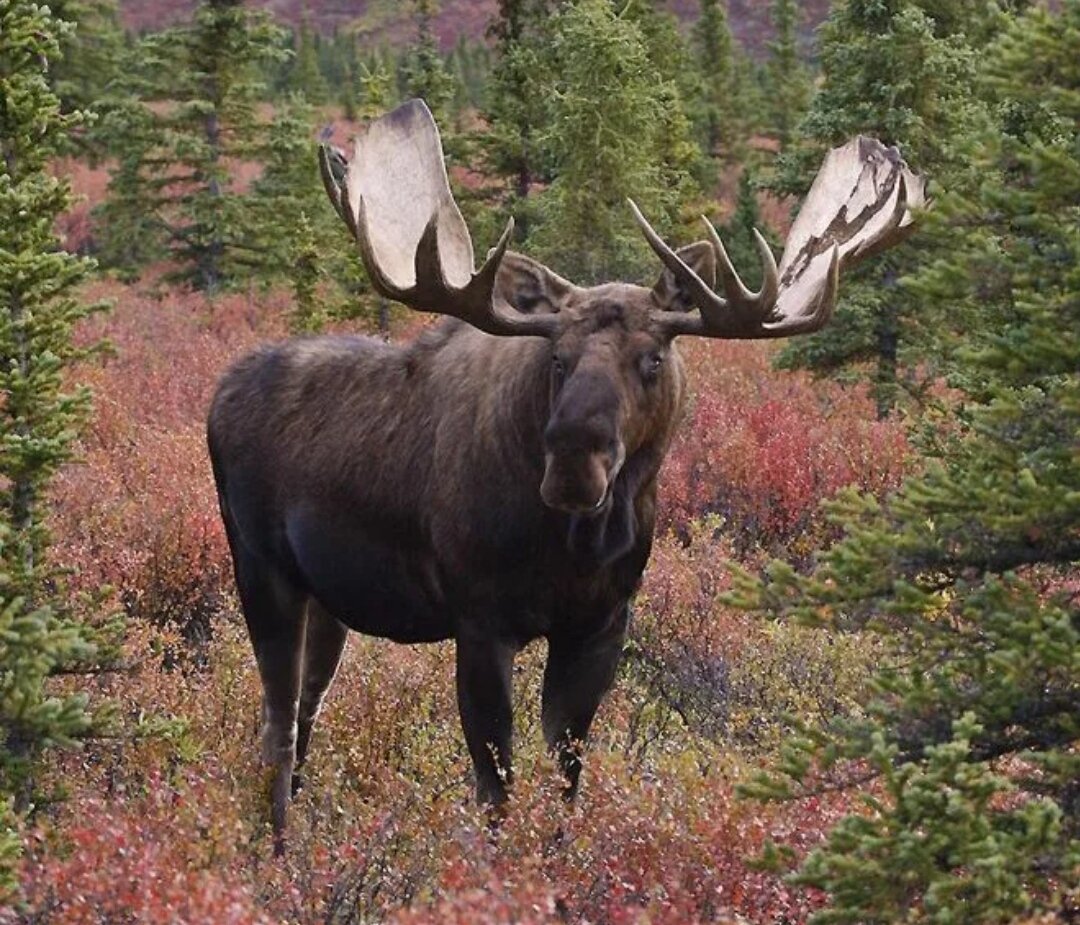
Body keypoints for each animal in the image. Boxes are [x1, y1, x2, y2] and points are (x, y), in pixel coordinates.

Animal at [206, 101, 924, 851]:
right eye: (557, 356)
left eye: (651, 359)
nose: (575, 461)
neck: (573, 549)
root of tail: (218, 393)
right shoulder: (480, 619)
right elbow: (495, 785)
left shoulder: (600, 623)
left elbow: (565, 775)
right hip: (259, 568)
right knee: (277, 725)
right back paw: (276, 852)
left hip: (329, 600)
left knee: (305, 711)